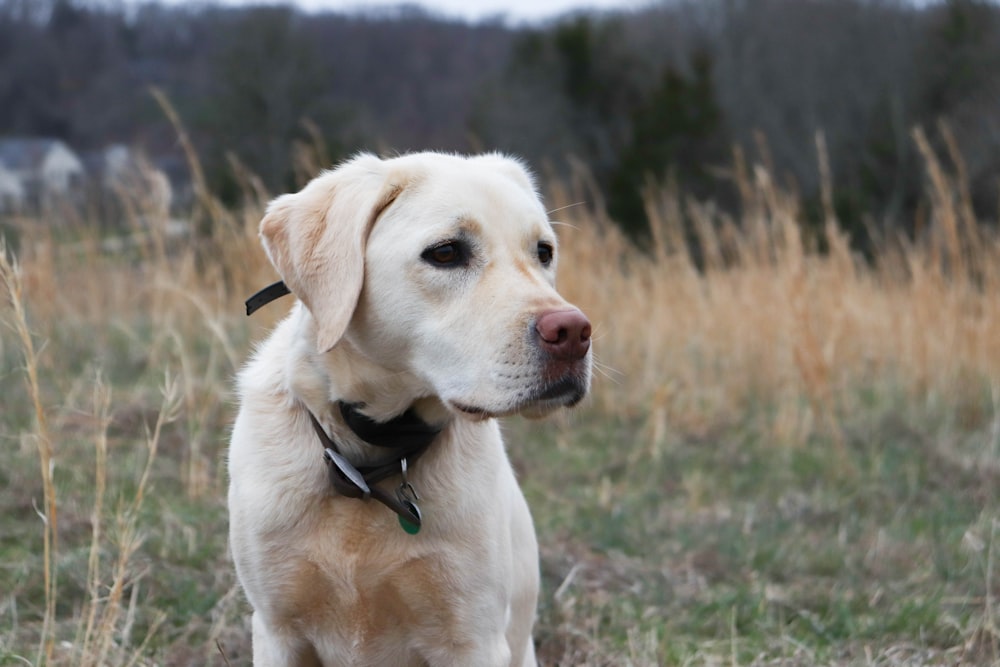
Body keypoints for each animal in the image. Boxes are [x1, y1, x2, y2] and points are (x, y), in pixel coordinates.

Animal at [229, 153, 588, 667]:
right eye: (446, 253)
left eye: (543, 252)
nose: (575, 333)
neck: (367, 465)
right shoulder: (277, 630)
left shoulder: (474, 639)